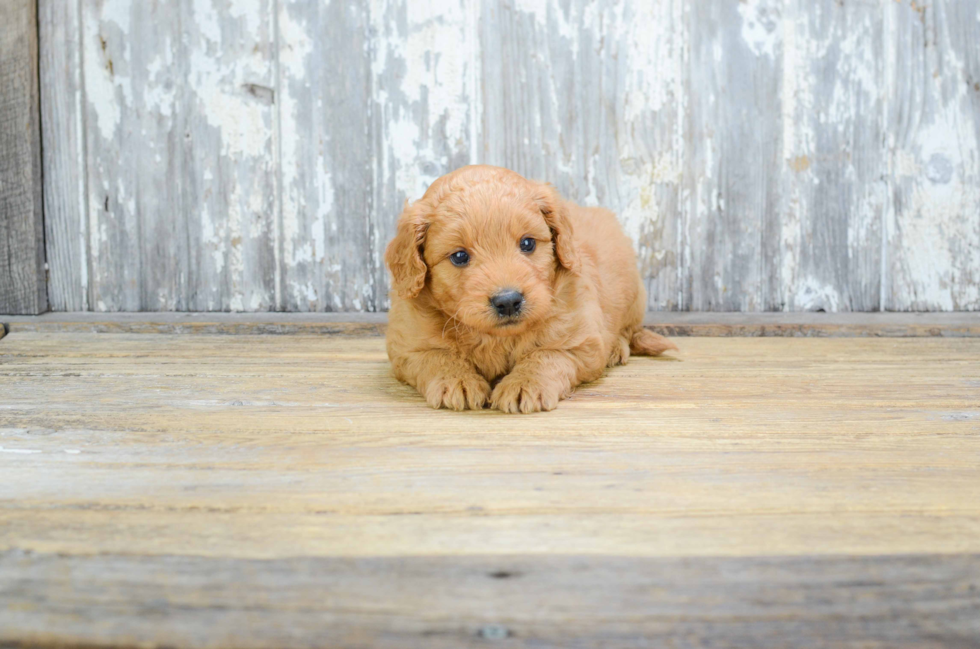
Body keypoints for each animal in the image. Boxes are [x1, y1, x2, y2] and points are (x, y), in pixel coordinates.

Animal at [382, 165, 672, 412]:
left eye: (528, 243)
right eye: (459, 257)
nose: (508, 301)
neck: (494, 338)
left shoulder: (580, 342)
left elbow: (546, 355)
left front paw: (524, 384)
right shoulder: (407, 346)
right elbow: (438, 356)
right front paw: (457, 381)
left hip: (633, 293)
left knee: (628, 329)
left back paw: (616, 348)